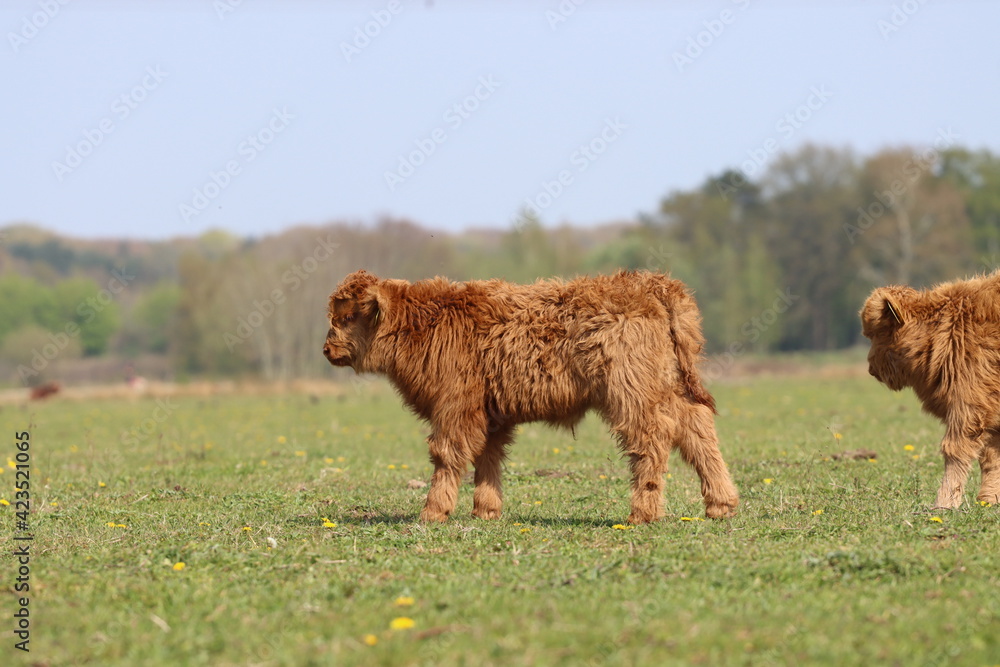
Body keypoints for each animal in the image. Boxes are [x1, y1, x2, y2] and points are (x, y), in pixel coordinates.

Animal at [324, 269, 739, 524]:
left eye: (346, 318)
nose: (326, 349)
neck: (426, 323)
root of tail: (652, 283)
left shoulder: (456, 407)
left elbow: (447, 453)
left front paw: (433, 512)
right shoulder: (490, 414)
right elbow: (487, 457)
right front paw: (486, 511)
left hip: (634, 395)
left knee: (651, 441)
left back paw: (643, 513)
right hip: (665, 388)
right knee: (696, 428)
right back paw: (721, 504)